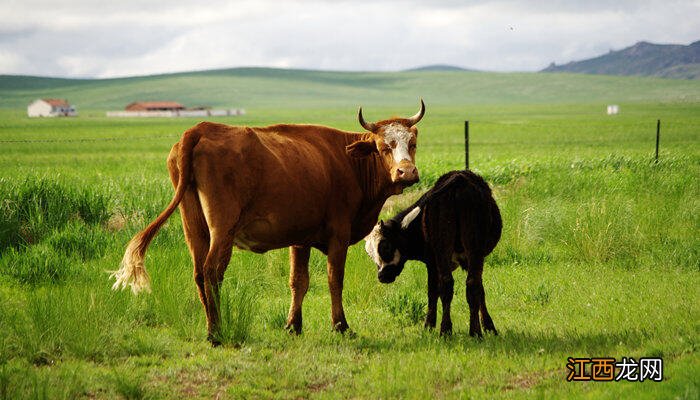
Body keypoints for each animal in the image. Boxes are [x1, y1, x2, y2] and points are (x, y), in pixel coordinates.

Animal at [110, 100, 426, 344]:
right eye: (384, 147)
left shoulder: (301, 238)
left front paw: (293, 326)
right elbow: (334, 280)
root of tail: (200, 129)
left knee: (199, 273)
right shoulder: (339, 235)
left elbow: (298, 281)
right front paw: (341, 326)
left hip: (194, 228)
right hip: (222, 229)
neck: (348, 162)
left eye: (412, 143)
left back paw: (211, 327)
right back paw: (216, 332)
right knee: (212, 273)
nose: (406, 172)